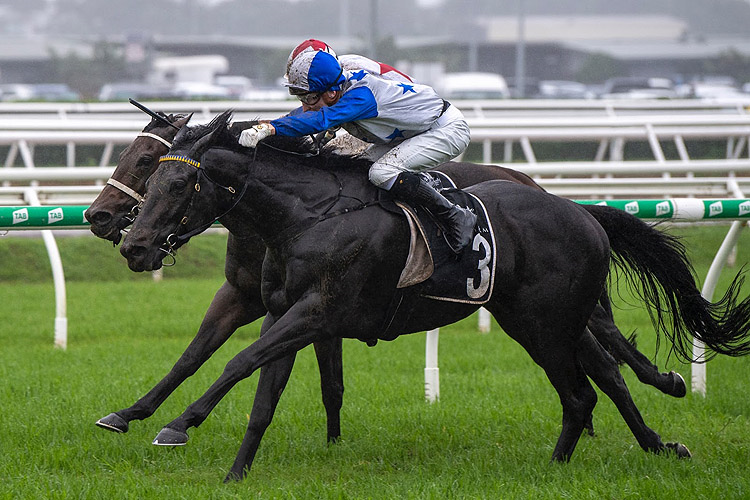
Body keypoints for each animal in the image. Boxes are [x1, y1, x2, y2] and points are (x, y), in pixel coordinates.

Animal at [119, 110, 750, 480]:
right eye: (152, 175)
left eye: (178, 181)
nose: (132, 244)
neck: (311, 215)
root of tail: (585, 213)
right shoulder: (287, 313)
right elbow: (260, 392)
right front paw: (234, 473)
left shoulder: (320, 311)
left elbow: (239, 360)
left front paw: (177, 425)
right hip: (539, 319)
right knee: (595, 384)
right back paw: (639, 445)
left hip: (546, 324)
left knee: (584, 392)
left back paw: (572, 462)